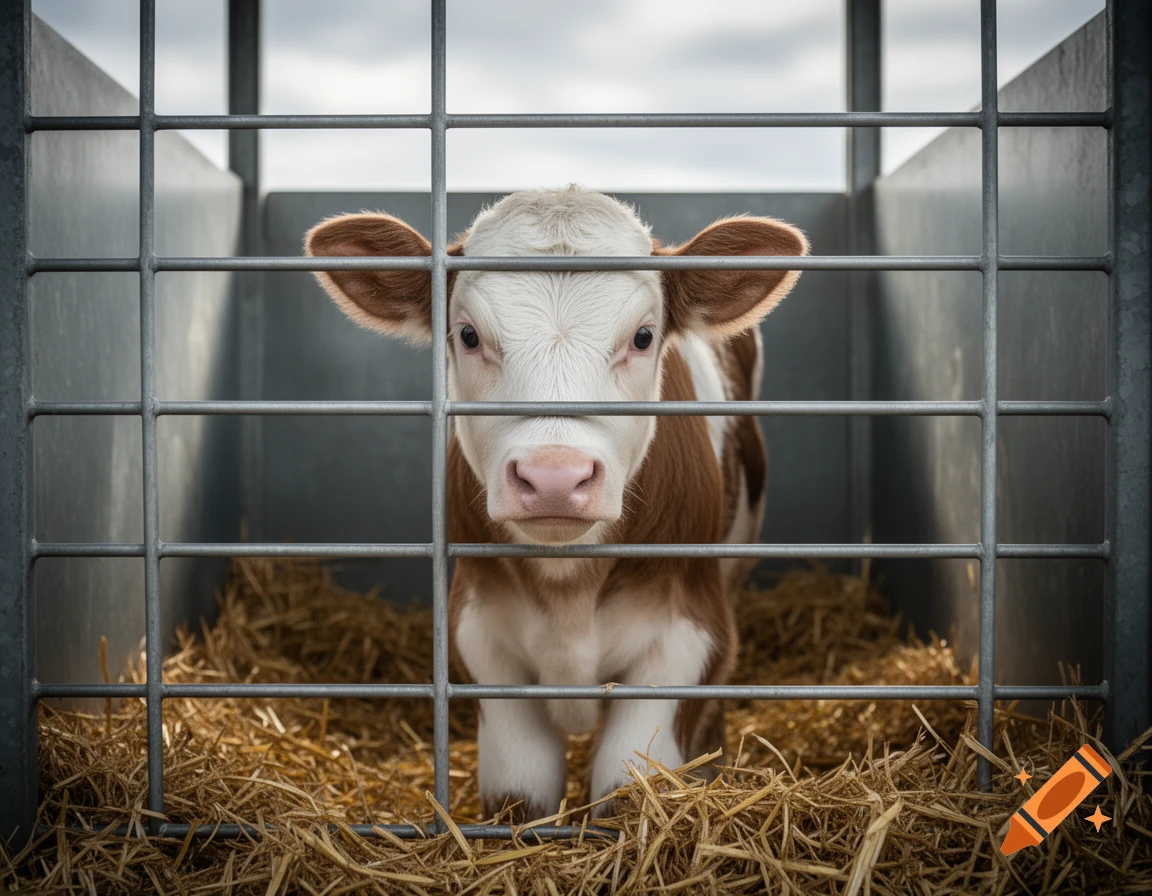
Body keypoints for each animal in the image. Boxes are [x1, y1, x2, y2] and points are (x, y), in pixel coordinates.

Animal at [306, 186, 807, 820]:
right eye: (467, 335)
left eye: (643, 337)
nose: (553, 478)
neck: (569, 585)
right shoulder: (481, 637)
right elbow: (520, 793)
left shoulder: (687, 638)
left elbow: (628, 791)